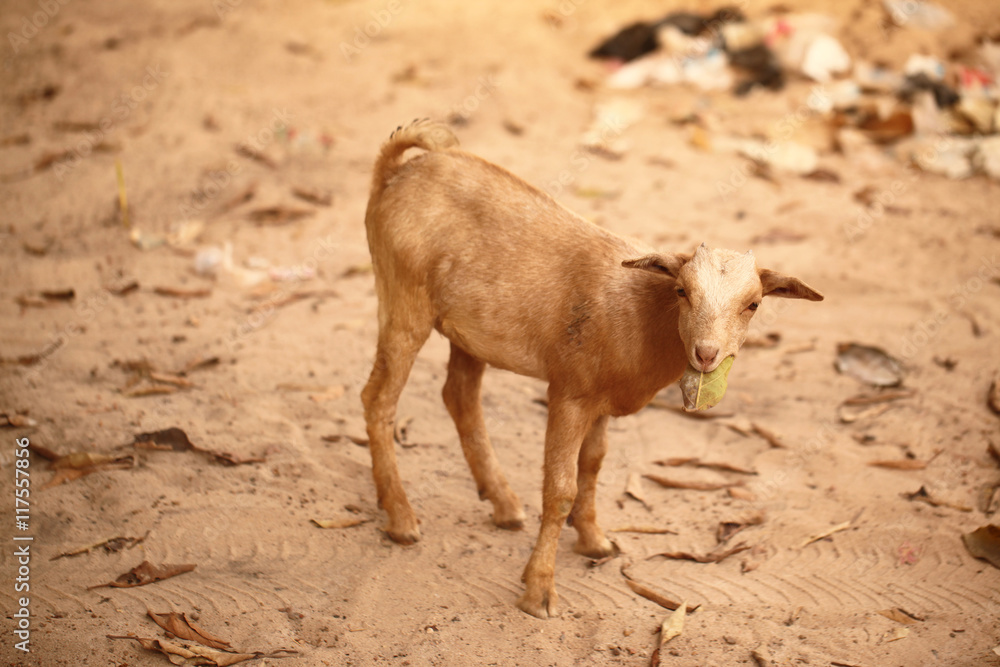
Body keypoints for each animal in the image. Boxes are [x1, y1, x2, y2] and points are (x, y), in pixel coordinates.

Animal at [360, 119, 823, 619]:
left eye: (754, 304)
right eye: (682, 291)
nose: (706, 354)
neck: (641, 314)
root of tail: (398, 169)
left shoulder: (601, 404)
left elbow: (593, 467)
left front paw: (594, 541)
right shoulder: (569, 393)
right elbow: (560, 488)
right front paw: (539, 590)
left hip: (468, 330)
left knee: (459, 395)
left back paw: (503, 504)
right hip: (403, 299)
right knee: (379, 398)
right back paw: (401, 518)